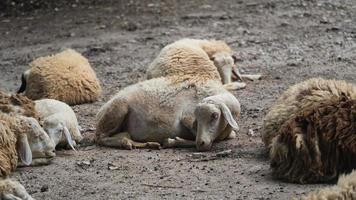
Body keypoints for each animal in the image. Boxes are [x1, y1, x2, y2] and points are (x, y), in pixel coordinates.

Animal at [96, 41, 241, 152]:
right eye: (197, 118)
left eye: (215, 116)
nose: (202, 144)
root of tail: (100, 111)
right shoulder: (187, 117)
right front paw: (173, 141)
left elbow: (229, 135)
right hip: (117, 110)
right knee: (101, 138)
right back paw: (128, 143)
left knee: (123, 135)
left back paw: (148, 144)